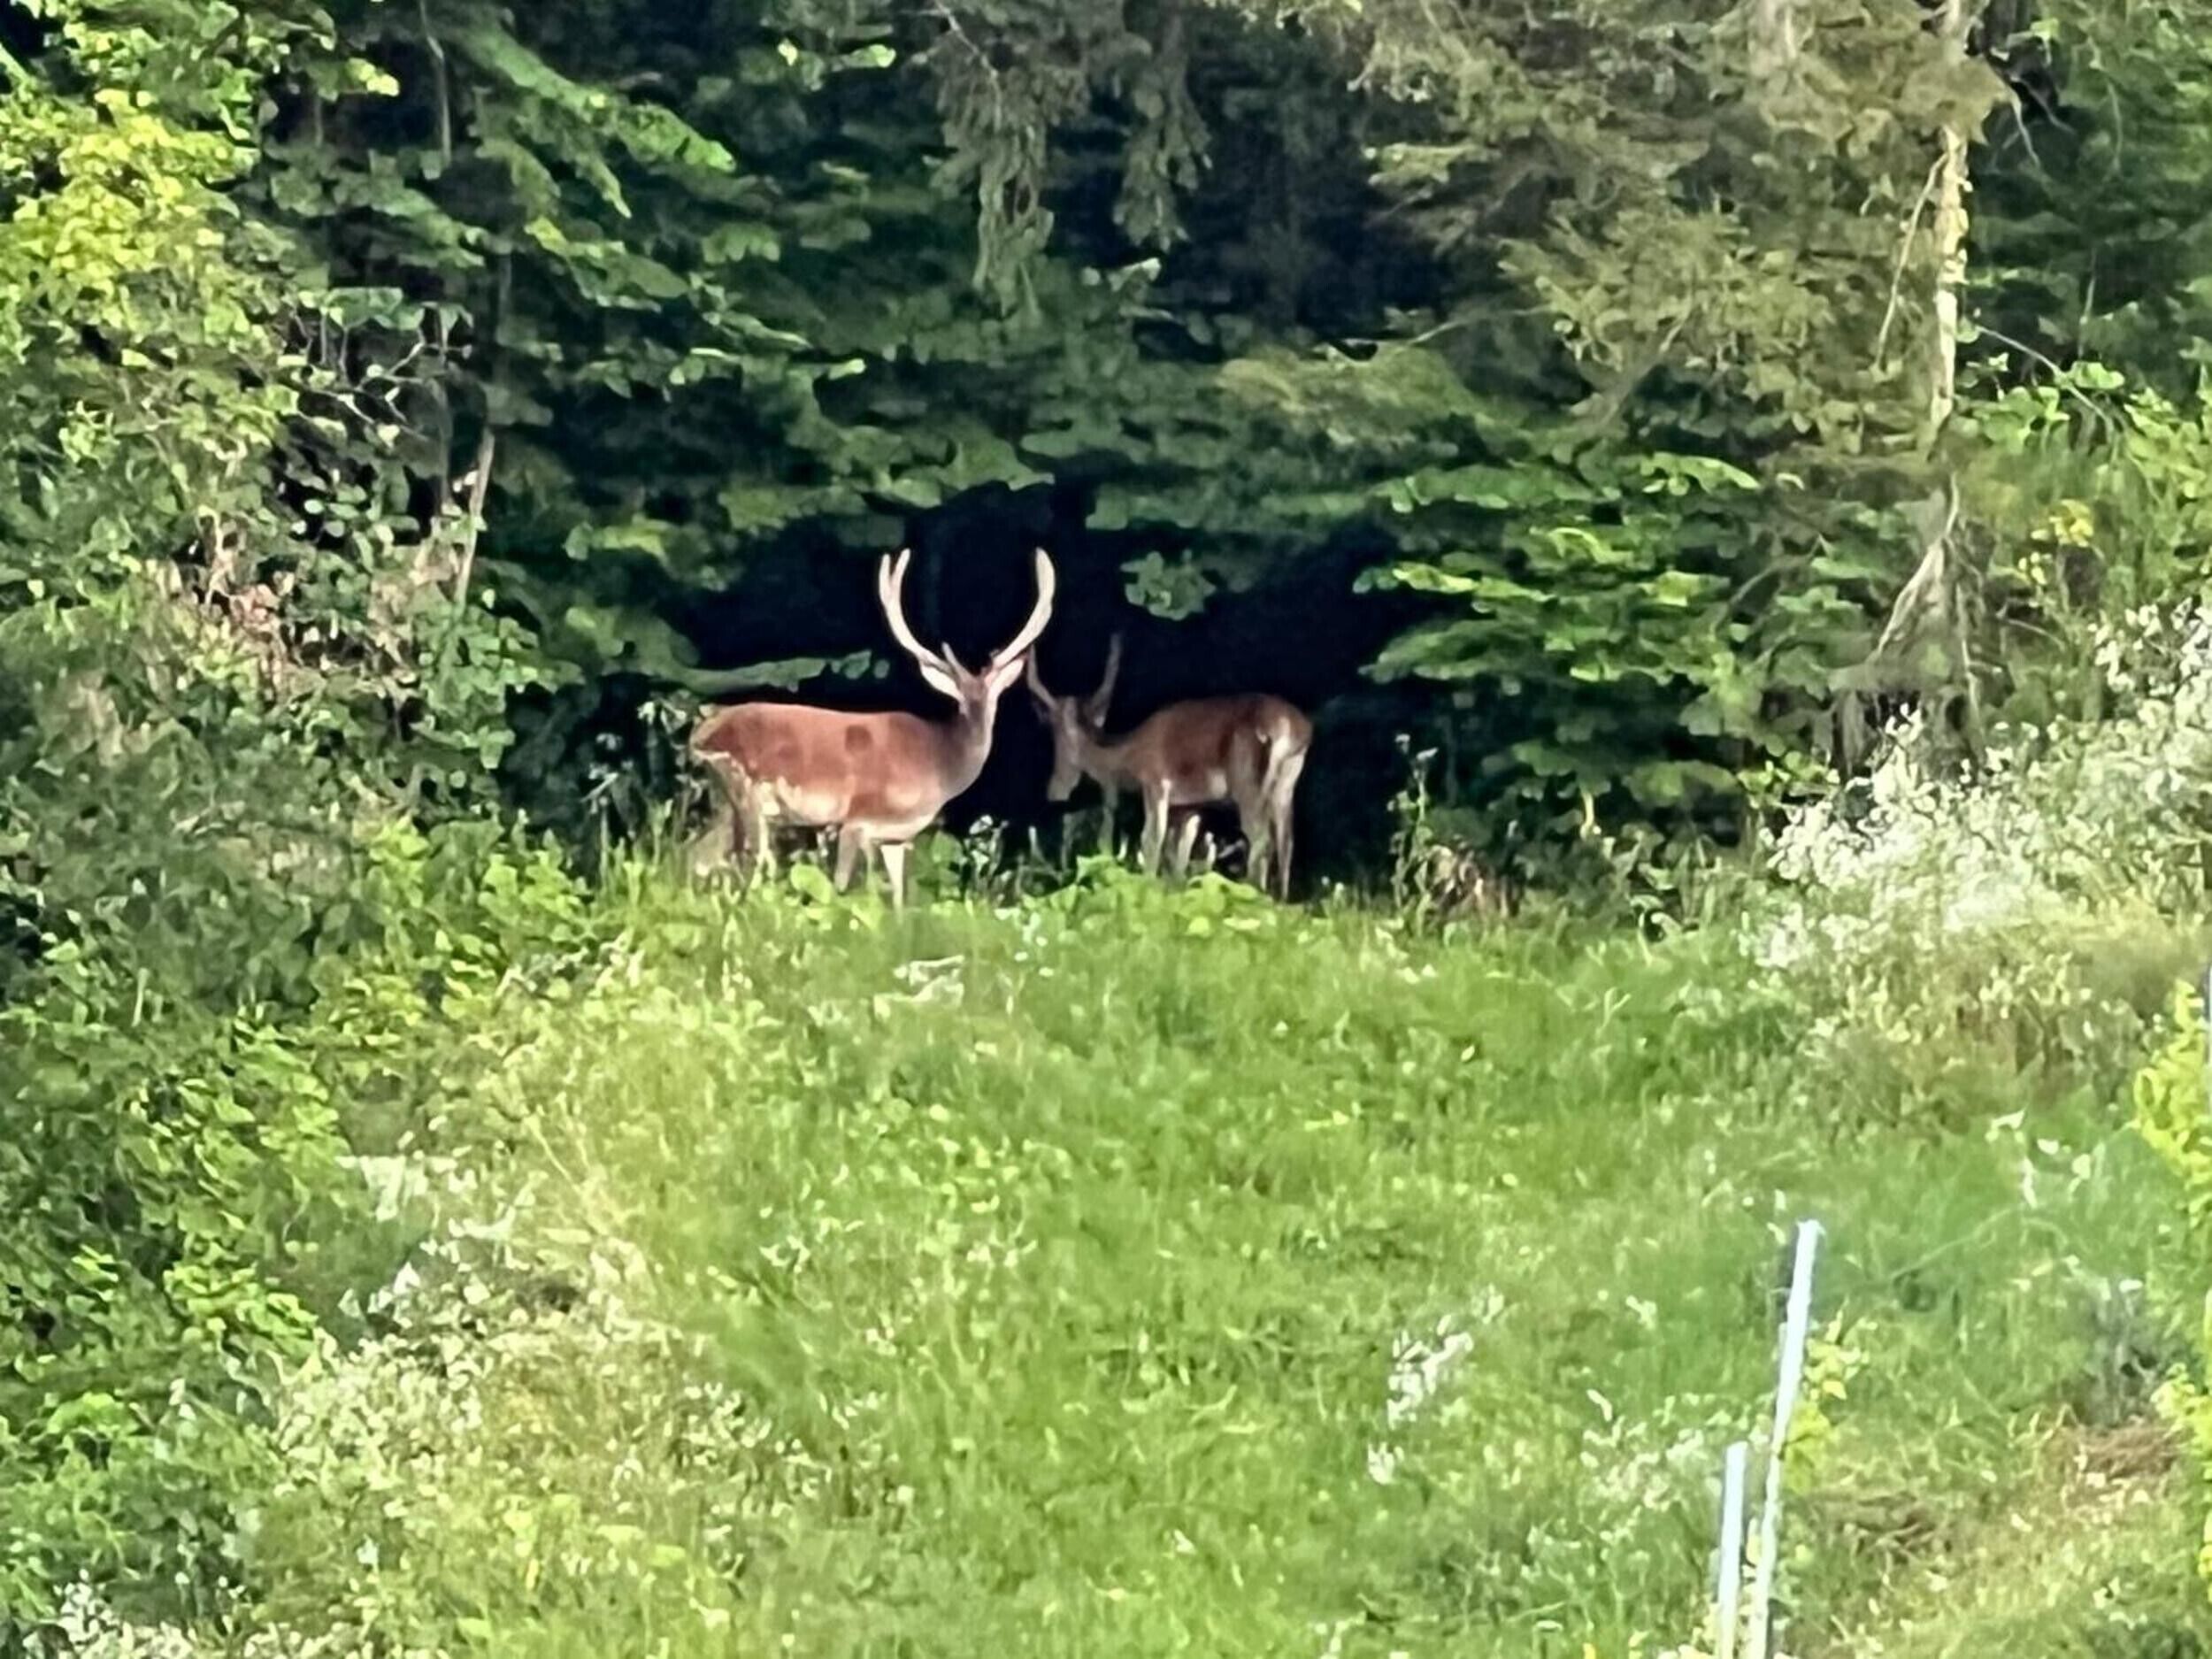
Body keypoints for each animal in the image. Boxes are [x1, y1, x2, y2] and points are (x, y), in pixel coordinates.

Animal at [688, 548, 1055, 908]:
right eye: (959, 701)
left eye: (994, 699)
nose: (979, 729)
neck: (935, 769)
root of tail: (699, 736)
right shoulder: (856, 820)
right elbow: (838, 888)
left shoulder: (896, 838)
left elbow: (899, 901)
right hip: (744, 793)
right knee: (740, 862)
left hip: (728, 802)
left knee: (701, 857)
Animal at [1025, 633, 1312, 900]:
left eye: (1056, 737)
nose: (1053, 790)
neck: (1127, 757)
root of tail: (1291, 727)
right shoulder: (1189, 807)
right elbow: (1179, 858)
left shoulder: (1156, 782)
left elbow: (1151, 840)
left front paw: (1147, 891)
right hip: (1286, 785)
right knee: (1286, 841)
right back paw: (1280, 901)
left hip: (1247, 784)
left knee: (1261, 838)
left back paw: (1255, 894)